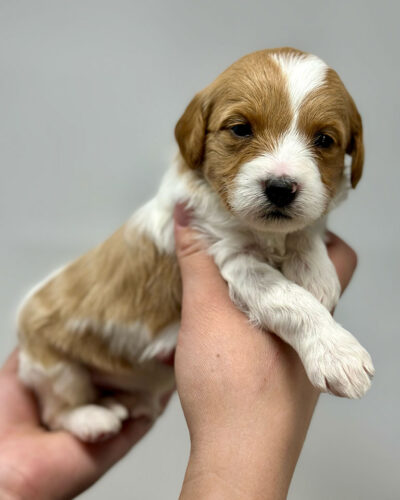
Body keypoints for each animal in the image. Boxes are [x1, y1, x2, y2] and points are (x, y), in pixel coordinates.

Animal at [17, 47, 374, 442]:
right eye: (241, 129)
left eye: (324, 140)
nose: (281, 188)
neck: (262, 231)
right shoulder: (232, 258)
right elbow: (287, 300)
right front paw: (337, 352)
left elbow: (306, 228)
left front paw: (316, 272)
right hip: (56, 368)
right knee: (56, 412)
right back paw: (94, 418)